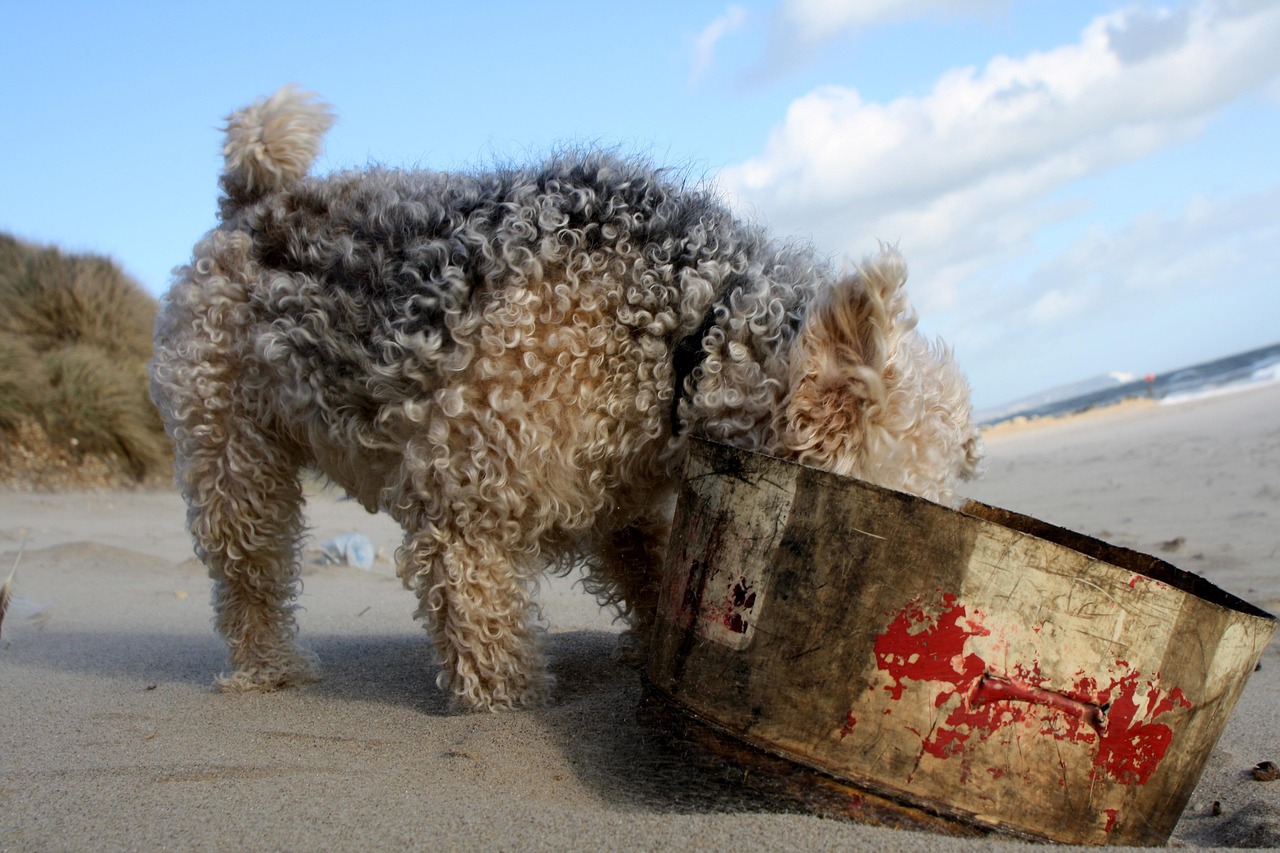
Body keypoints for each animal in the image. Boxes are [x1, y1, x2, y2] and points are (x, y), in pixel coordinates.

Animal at [154, 87, 983, 712]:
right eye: (901, 510)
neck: (685, 336)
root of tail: (252, 202)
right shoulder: (464, 518)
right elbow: (492, 650)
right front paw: (517, 704)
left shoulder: (619, 503)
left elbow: (652, 579)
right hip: (233, 459)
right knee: (249, 579)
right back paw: (270, 668)